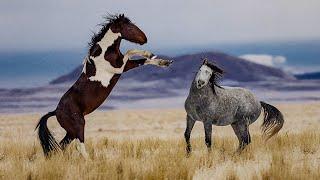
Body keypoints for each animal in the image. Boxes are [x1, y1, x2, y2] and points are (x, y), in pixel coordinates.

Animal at [35, 14, 172, 158]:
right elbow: (130, 51)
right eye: (130, 27)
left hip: (71, 132)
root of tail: (56, 111)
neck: (105, 52)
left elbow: (144, 60)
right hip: (79, 125)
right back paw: (90, 161)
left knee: (60, 146)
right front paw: (149, 54)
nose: (145, 38)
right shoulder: (120, 67)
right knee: (79, 146)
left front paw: (163, 62)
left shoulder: (125, 66)